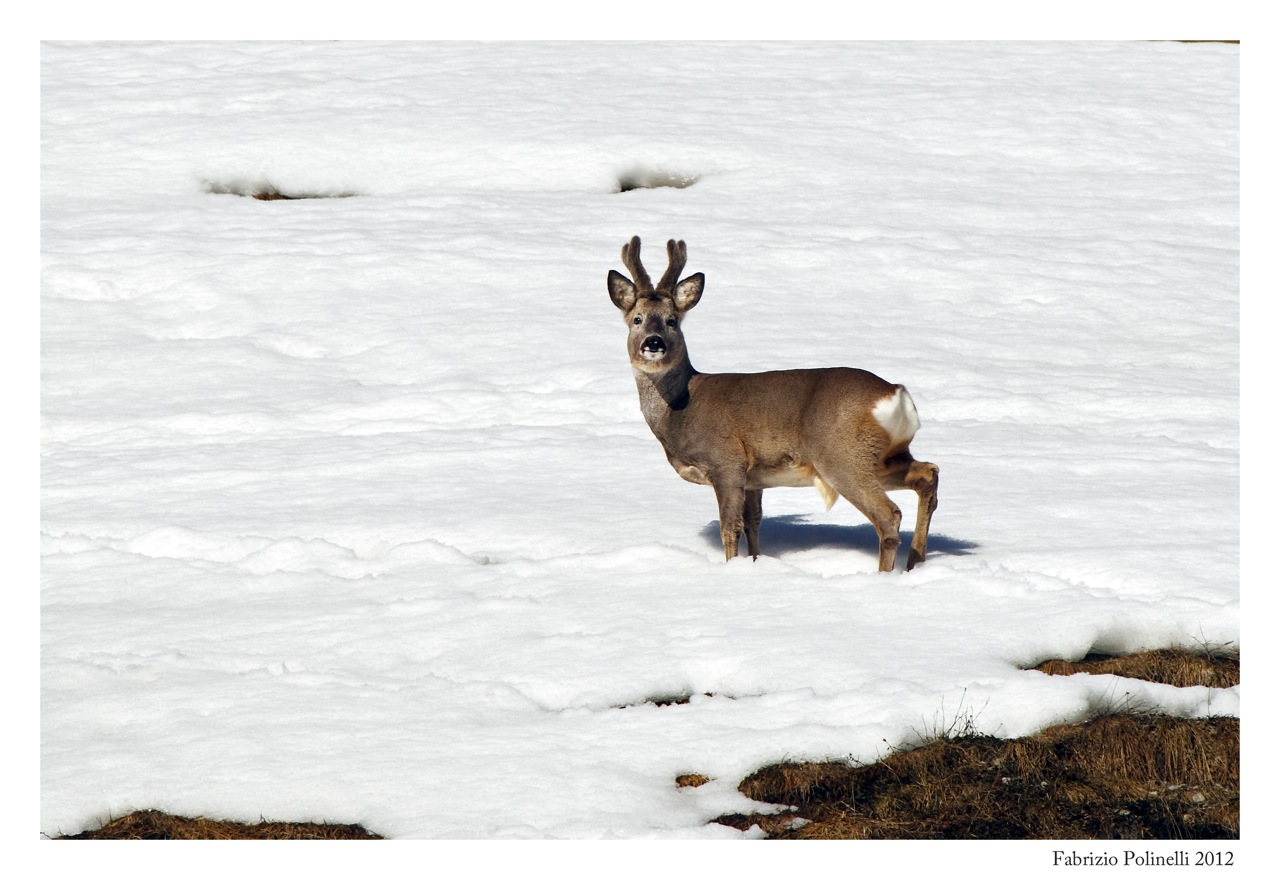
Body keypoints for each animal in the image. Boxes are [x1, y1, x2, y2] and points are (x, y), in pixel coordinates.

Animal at [609, 235, 942, 570]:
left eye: (672, 321)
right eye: (637, 319)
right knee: (928, 475)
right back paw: (915, 563)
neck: (680, 408)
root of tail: (895, 394)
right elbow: (754, 523)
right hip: (885, 456)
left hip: (843, 456)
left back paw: (886, 573)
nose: (653, 343)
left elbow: (730, 527)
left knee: (889, 515)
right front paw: (756, 563)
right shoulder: (754, 480)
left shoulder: (727, 462)